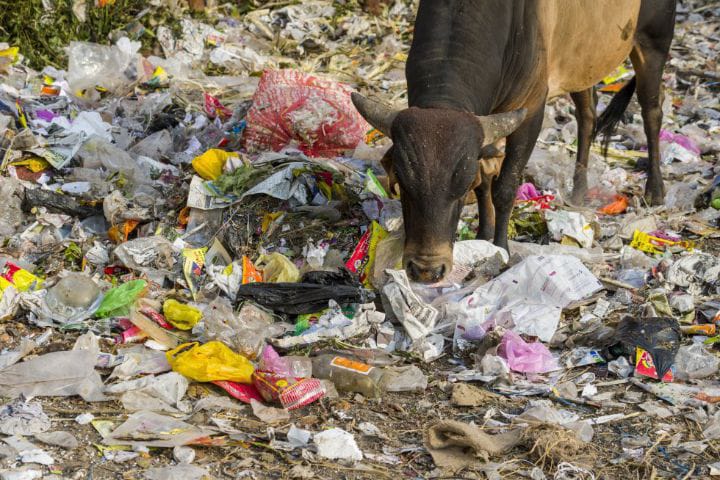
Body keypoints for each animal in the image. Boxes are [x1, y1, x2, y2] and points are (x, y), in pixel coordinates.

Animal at [352, 0, 676, 284]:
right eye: (401, 184)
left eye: (460, 189)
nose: (426, 271)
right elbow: (485, 179)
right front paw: (483, 236)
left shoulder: (531, 110)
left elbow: (505, 186)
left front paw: (501, 248)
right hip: (583, 63)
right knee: (587, 114)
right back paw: (579, 189)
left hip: (653, 42)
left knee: (651, 110)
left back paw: (656, 189)